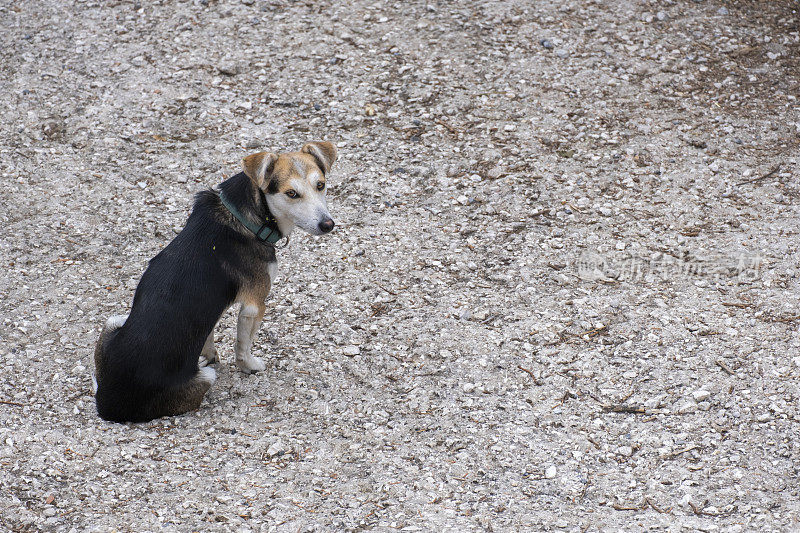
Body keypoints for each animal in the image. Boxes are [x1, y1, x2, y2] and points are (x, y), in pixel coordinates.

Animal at [93, 142, 338, 424]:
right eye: (291, 193)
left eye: (320, 185)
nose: (328, 225)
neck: (247, 215)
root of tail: (108, 405)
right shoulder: (256, 303)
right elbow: (243, 343)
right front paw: (249, 366)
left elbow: (209, 334)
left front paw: (208, 354)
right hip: (203, 379)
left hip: (112, 322)